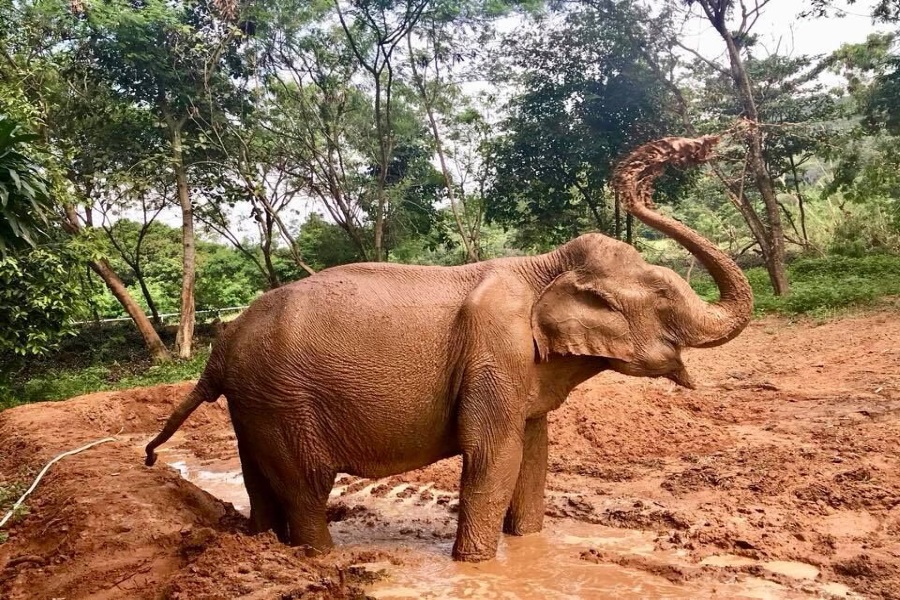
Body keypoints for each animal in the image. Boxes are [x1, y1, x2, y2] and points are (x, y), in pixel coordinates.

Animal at [146, 135, 752, 564]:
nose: (705, 143)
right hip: (282, 402)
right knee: (305, 486)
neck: (545, 265)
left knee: (262, 482)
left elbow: (535, 455)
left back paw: (264, 548)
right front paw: (477, 566)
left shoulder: (524, 370)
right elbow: (492, 457)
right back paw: (318, 560)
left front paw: (527, 547)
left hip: (253, 405)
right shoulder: (495, 351)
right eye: (665, 294)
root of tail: (222, 346)